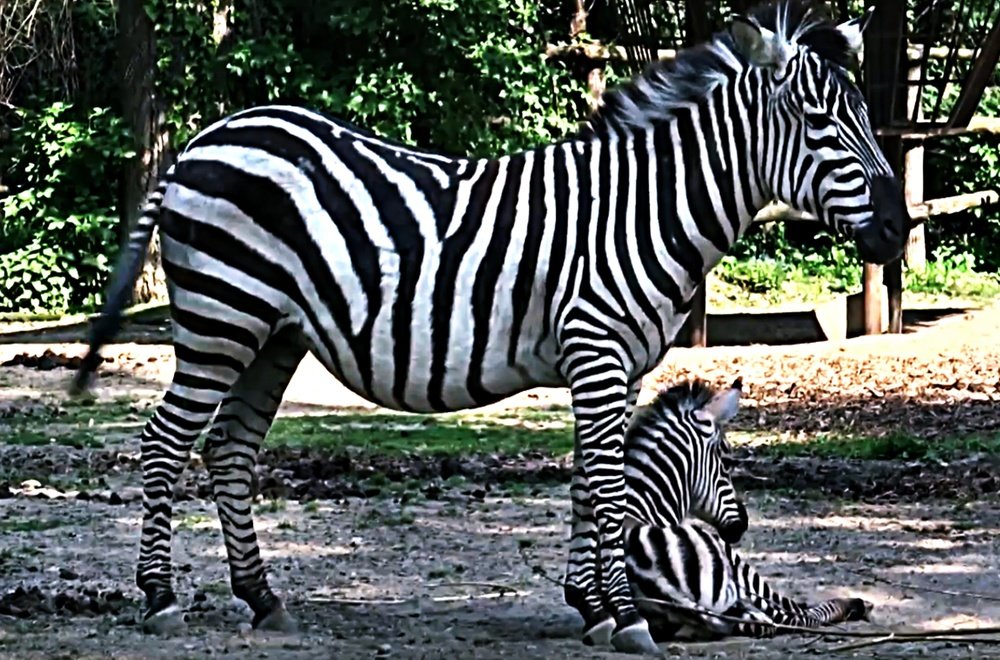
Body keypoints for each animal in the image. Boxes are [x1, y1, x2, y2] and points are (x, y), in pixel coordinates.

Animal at [609, 380, 872, 643]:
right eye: (727, 463)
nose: (743, 523)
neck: (644, 503)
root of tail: (648, 573)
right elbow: (787, 607)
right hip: (727, 560)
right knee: (790, 615)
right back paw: (852, 605)